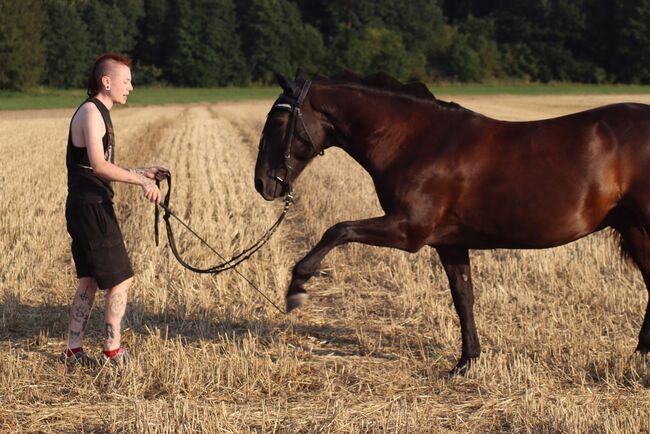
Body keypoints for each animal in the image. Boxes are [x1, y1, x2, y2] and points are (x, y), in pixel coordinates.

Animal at [254, 71, 650, 372]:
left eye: (278, 121)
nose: (263, 183)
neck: (417, 141)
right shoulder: (450, 242)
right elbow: (463, 297)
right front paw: (466, 361)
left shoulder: (408, 231)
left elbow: (337, 229)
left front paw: (297, 287)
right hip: (634, 229)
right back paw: (640, 354)